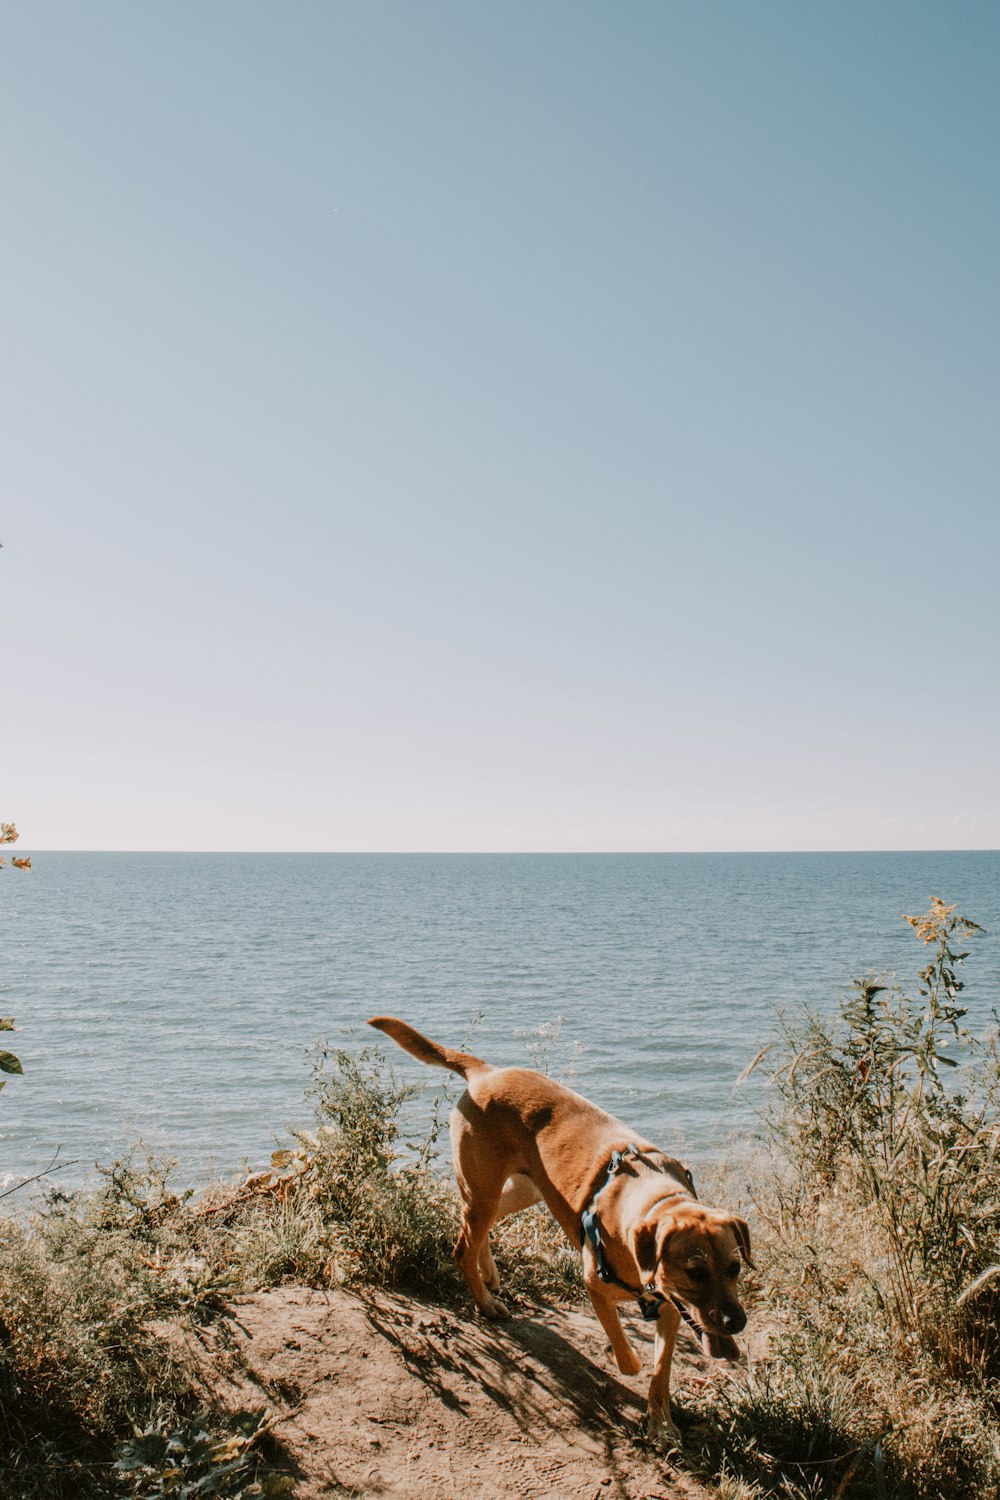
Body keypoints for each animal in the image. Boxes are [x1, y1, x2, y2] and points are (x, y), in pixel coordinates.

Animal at [370, 1014, 749, 1446]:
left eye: (735, 1268)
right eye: (694, 1271)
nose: (736, 1323)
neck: (652, 1201)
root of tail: (487, 1072)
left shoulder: (672, 1308)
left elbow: (659, 1374)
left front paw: (662, 1424)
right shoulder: (596, 1287)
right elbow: (630, 1360)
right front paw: (624, 1360)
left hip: (523, 1191)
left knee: (474, 1227)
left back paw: (489, 1274)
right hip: (484, 1189)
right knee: (462, 1245)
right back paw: (485, 1301)